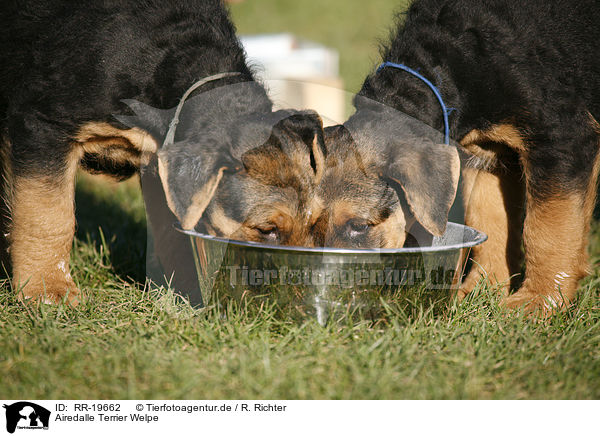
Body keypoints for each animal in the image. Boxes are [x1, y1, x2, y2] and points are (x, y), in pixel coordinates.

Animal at [0, 0, 326, 304]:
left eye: (315, 222)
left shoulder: (163, 166)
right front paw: (48, 289)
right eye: (267, 229)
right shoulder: (45, 124)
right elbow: (49, 215)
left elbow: (173, 232)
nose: (298, 296)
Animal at [322, 0, 600, 314]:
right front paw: (480, 294)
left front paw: (536, 302)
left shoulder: (561, 137)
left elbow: (547, 228)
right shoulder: (489, 157)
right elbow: (490, 221)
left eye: (359, 225)